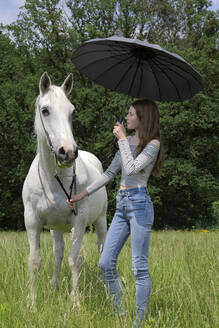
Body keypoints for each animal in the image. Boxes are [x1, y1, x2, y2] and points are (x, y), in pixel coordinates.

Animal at [22, 73, 108, 306]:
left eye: (72, 111)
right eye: (45, 110)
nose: (68, 152)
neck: (55, 179)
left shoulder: (79, 221)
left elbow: (75, 260)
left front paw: (75, 302)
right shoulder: (32, 220)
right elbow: (35, 261)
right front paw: (32, 303)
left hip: (101, 220)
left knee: (102, 249)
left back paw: (107, 286)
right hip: (56, 228)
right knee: (58, 252)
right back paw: (54, 285)